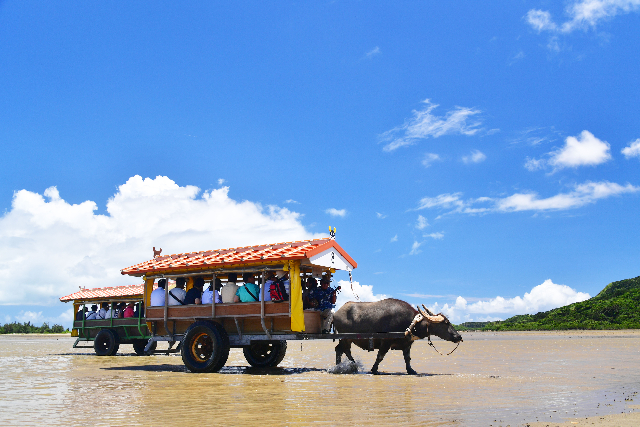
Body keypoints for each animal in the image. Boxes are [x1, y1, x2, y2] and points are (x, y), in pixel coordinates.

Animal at [332, 298, 462, 374]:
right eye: (446, 323)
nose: (459, 336)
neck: (410, 323)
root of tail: (335, 314)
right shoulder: (386, 342)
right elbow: (380, 356)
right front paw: (374, 370)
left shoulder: (407, 344)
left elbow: (407, 358)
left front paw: (411, 370)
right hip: (346, 338)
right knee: (345, 350)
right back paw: (353, 366)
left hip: (345, 339)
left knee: (339, 349)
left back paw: (340, 366)